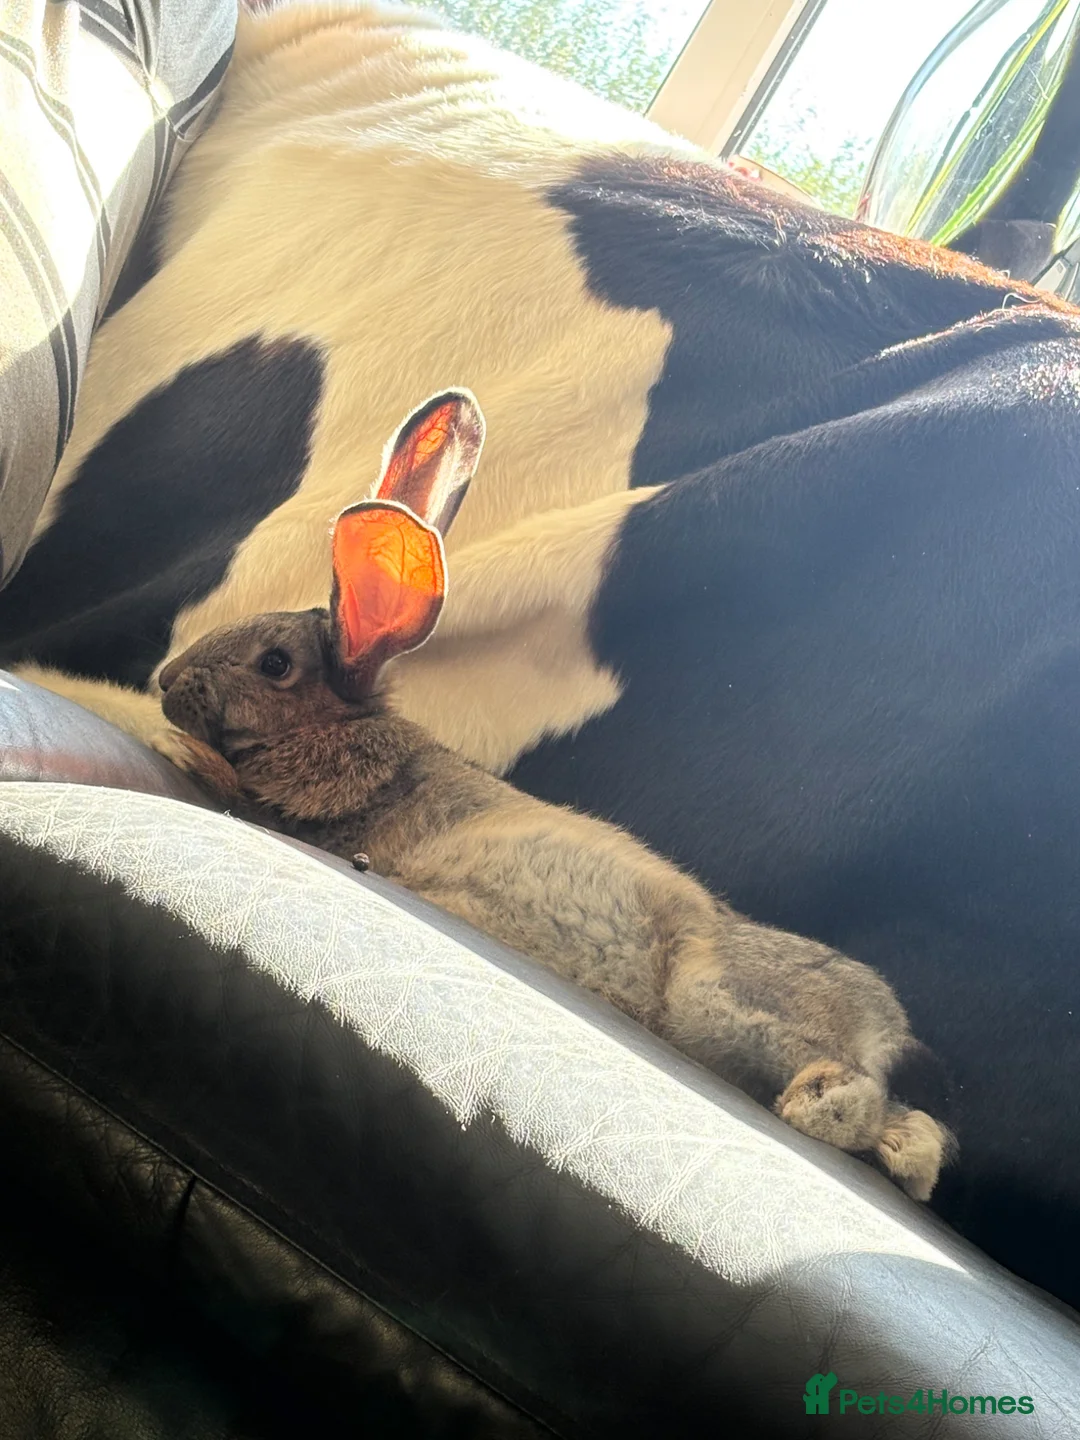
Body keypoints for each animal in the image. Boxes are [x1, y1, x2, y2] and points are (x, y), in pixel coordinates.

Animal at [157, 389, 954, 1202]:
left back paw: (817, 1102)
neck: (347, 731)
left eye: (274, 664)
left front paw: (188, 756)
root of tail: (884, 1028)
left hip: (719, 995)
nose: (164, 683)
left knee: (868, 1101)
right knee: (913, 1133)